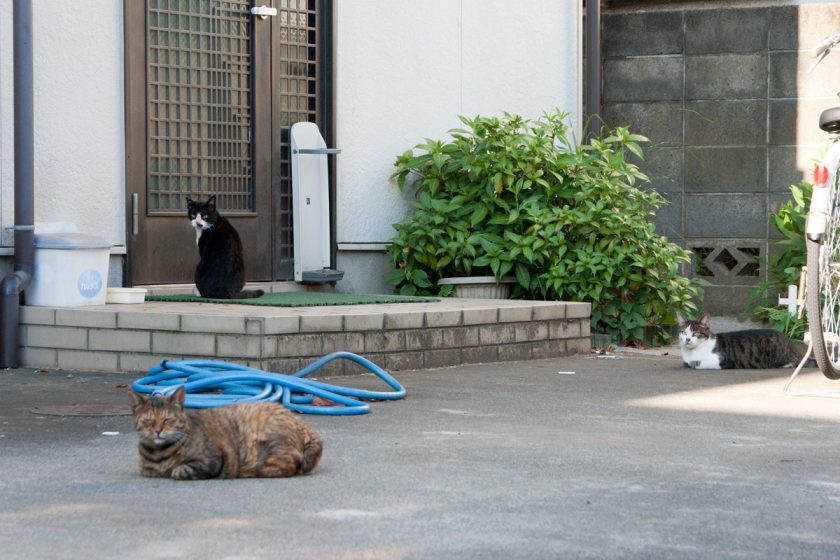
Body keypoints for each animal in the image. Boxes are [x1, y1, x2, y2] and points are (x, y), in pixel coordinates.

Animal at [130, 384, 324, 482]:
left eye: (167, 420)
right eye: (149, 420)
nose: (158, 431)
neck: (158, 454)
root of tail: (305, 427)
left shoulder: (213, 459)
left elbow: (181, 469)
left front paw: (176, 470)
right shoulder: (146, 469)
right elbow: (148, 470)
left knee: (287, 468)